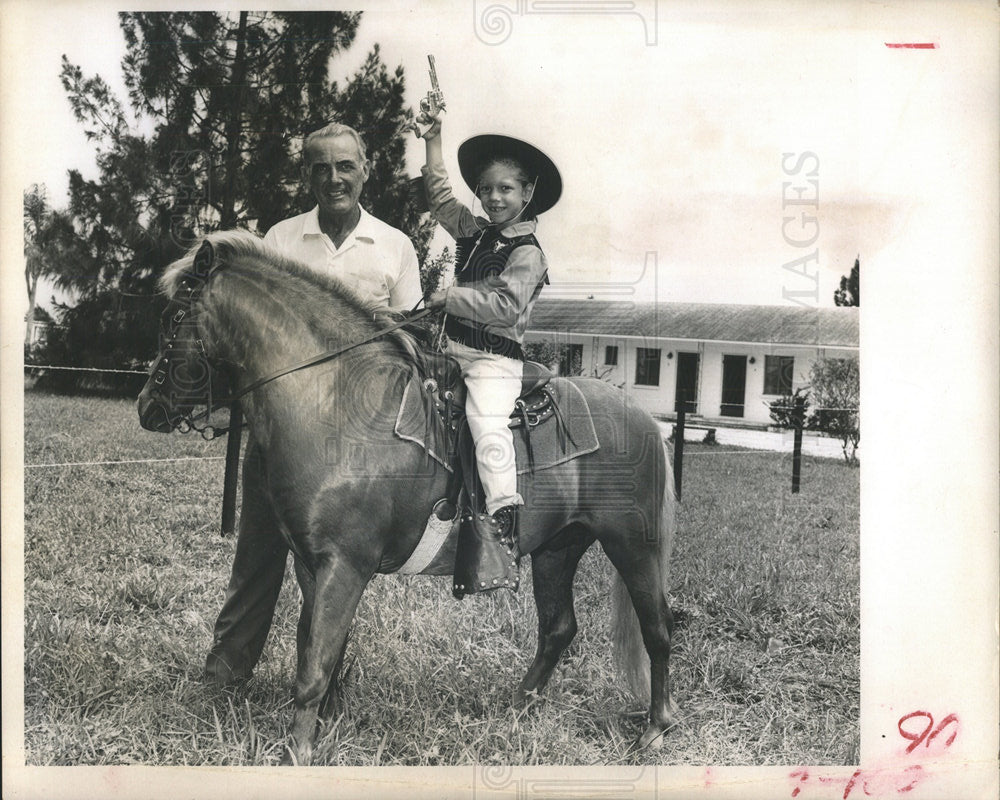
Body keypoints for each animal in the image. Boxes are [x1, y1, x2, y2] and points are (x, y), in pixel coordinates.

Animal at [137, 230, 680, 764]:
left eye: (169, 318)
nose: (147, 408)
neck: (336, 402)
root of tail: (645, 419)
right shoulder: (314, 566)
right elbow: (316, 651)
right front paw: (323, 729)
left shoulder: (344, 567)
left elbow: (313, 667)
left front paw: (299, 754)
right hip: (557, 549)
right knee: (559, 628)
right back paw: (519, 707)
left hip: (634, 545)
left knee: (657, 629)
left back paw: (655, 729)